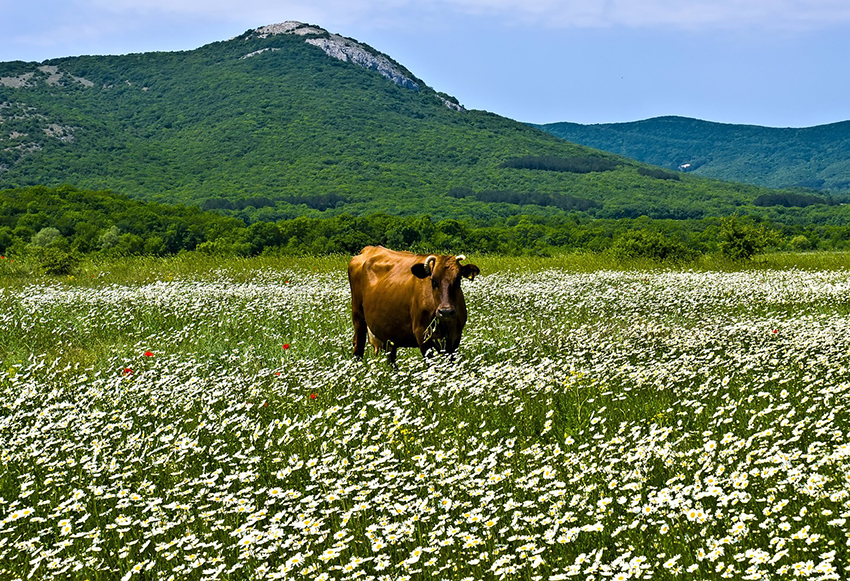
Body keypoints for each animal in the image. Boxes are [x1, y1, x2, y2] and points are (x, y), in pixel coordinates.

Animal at [344, 246, 476, 362]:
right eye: (433, 280)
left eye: (458, 279)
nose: (446, 311)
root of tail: (369, 249)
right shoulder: (421, 333)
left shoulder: (455, 336)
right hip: (358, 316)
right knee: (358, 347)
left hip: (387, 330)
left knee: (390, 355)